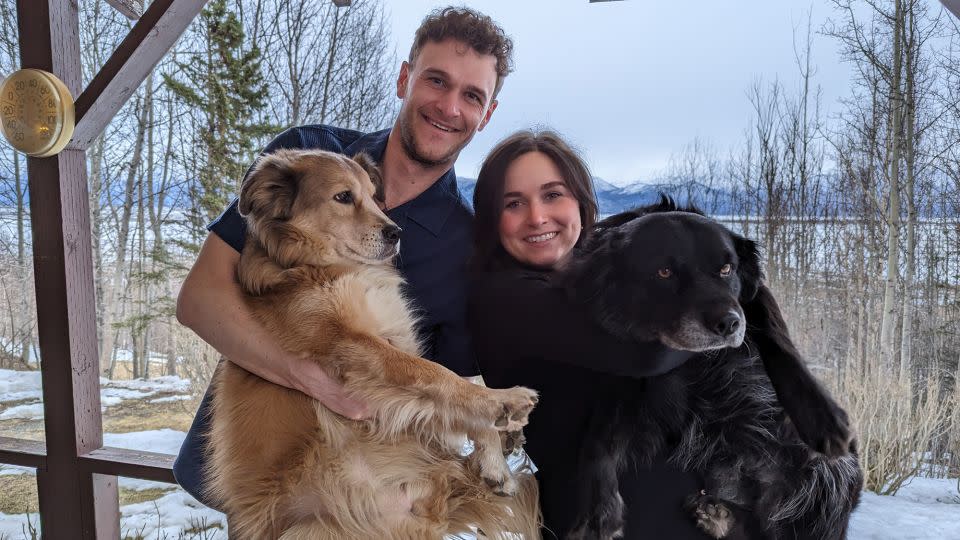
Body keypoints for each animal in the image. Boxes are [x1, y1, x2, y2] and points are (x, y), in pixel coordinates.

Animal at [204, 149, 540, 540]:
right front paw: (504, 401)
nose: (396, 233)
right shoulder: (353, 346)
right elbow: (438, 377)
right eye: (343, 197)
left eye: (373, 196)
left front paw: (495, 463)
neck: (327, 265)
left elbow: (447, 393)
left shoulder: (396, 342)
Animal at [560, 199, 860, 540]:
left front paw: (824, 418)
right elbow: (601, 432)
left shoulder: (752, 298)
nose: (728, 324)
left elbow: (777, 333)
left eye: (726, 269)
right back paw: (719, 515)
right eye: (664, 272)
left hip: (828, 474)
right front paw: (595, 511)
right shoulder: (622, 364)